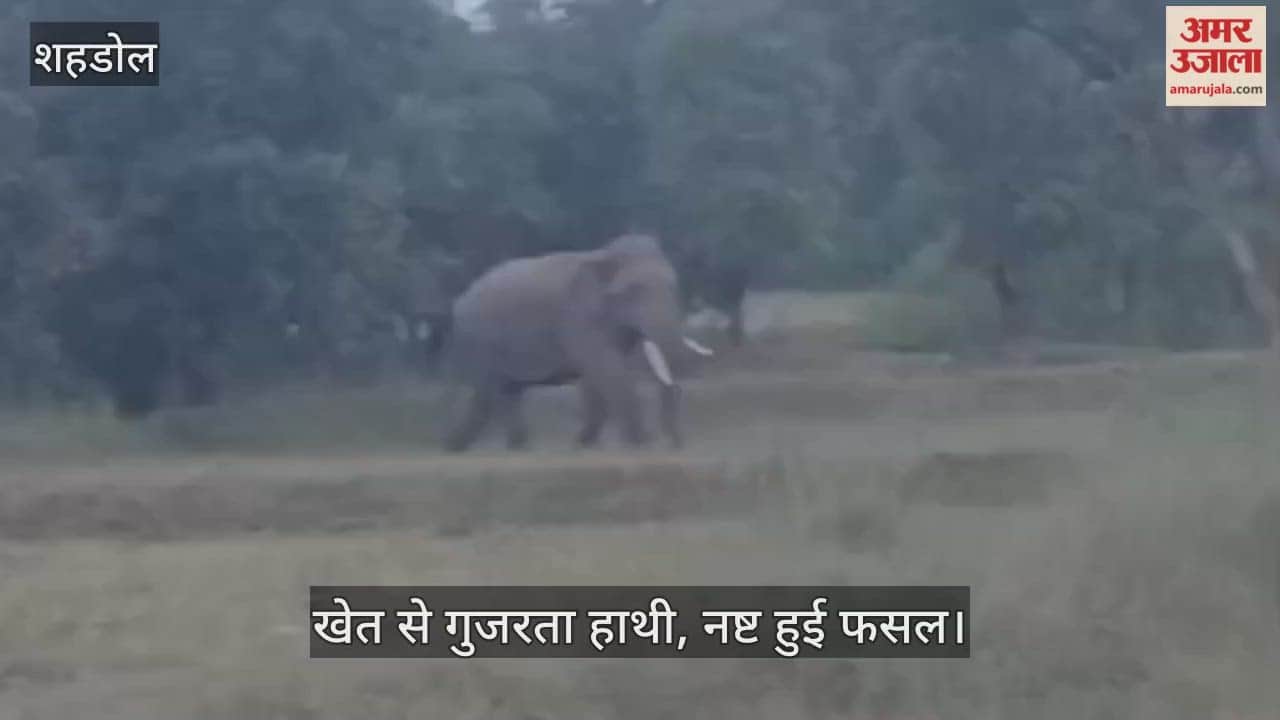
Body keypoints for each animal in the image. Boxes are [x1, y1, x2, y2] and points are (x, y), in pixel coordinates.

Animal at [435, 233, 714, 452]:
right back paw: (463, 446)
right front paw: (641, 443)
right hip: (480, 340)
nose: (676, 443)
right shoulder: (577, 316)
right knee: (489, 393)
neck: (603, 254)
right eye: (633, 291)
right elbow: (605, 368)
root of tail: (458, 303)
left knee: (507, 391)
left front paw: (584, 443)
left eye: (674, 287)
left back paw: (513, 446)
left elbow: (598, 376)